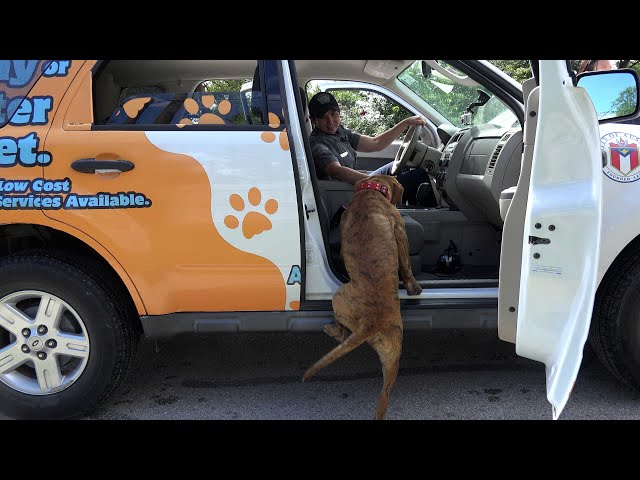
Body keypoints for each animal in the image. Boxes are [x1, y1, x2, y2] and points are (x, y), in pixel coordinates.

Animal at [302, 174, 422, 418]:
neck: (371, 190)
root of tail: (371, 323)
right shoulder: (400, 230)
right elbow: (406, 264)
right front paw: (413, 286)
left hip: (388, 352)